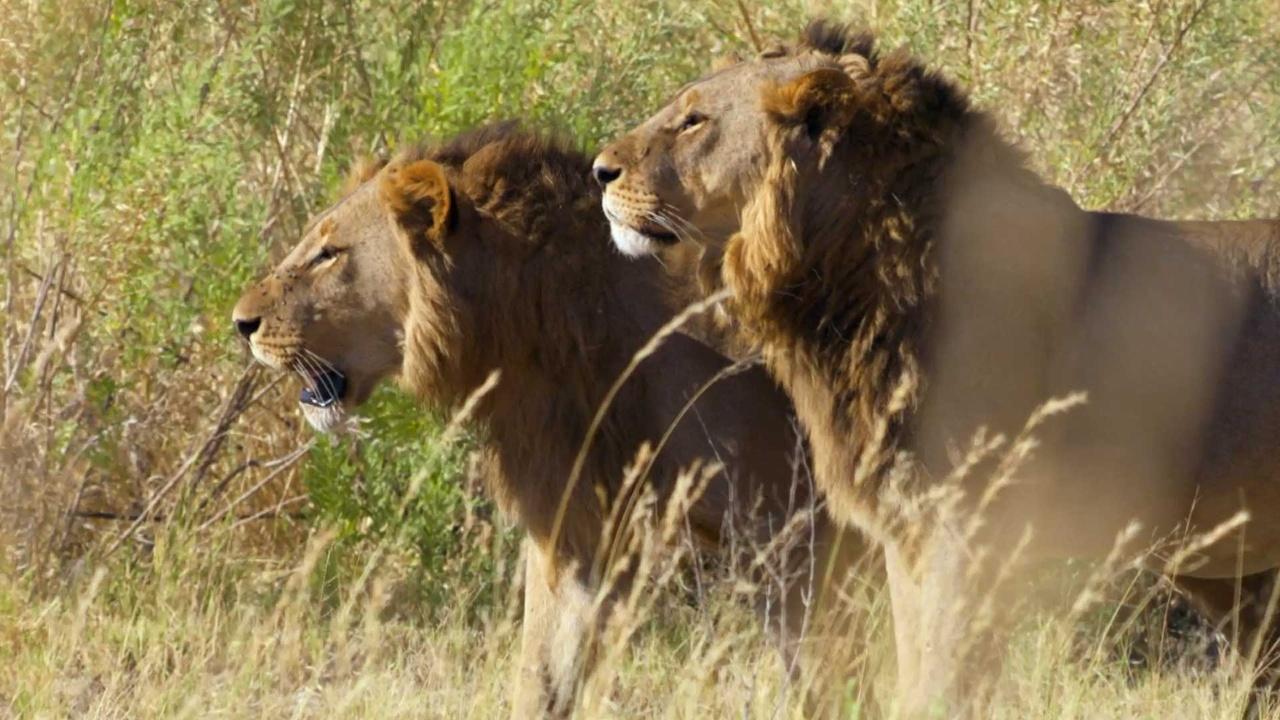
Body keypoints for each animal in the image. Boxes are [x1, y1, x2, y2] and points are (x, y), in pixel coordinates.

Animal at [231, 123, 868, 717]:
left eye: (329, 254)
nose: (241, 323)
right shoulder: (575, 527)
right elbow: (541, 674)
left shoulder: (796, 529)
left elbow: (829, 678)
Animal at [594, 20, 1280, 717]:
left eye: (694, 121)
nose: (599, 171)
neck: (842, 288)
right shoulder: (911, 529)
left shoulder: (968, 527)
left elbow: (942, 682)